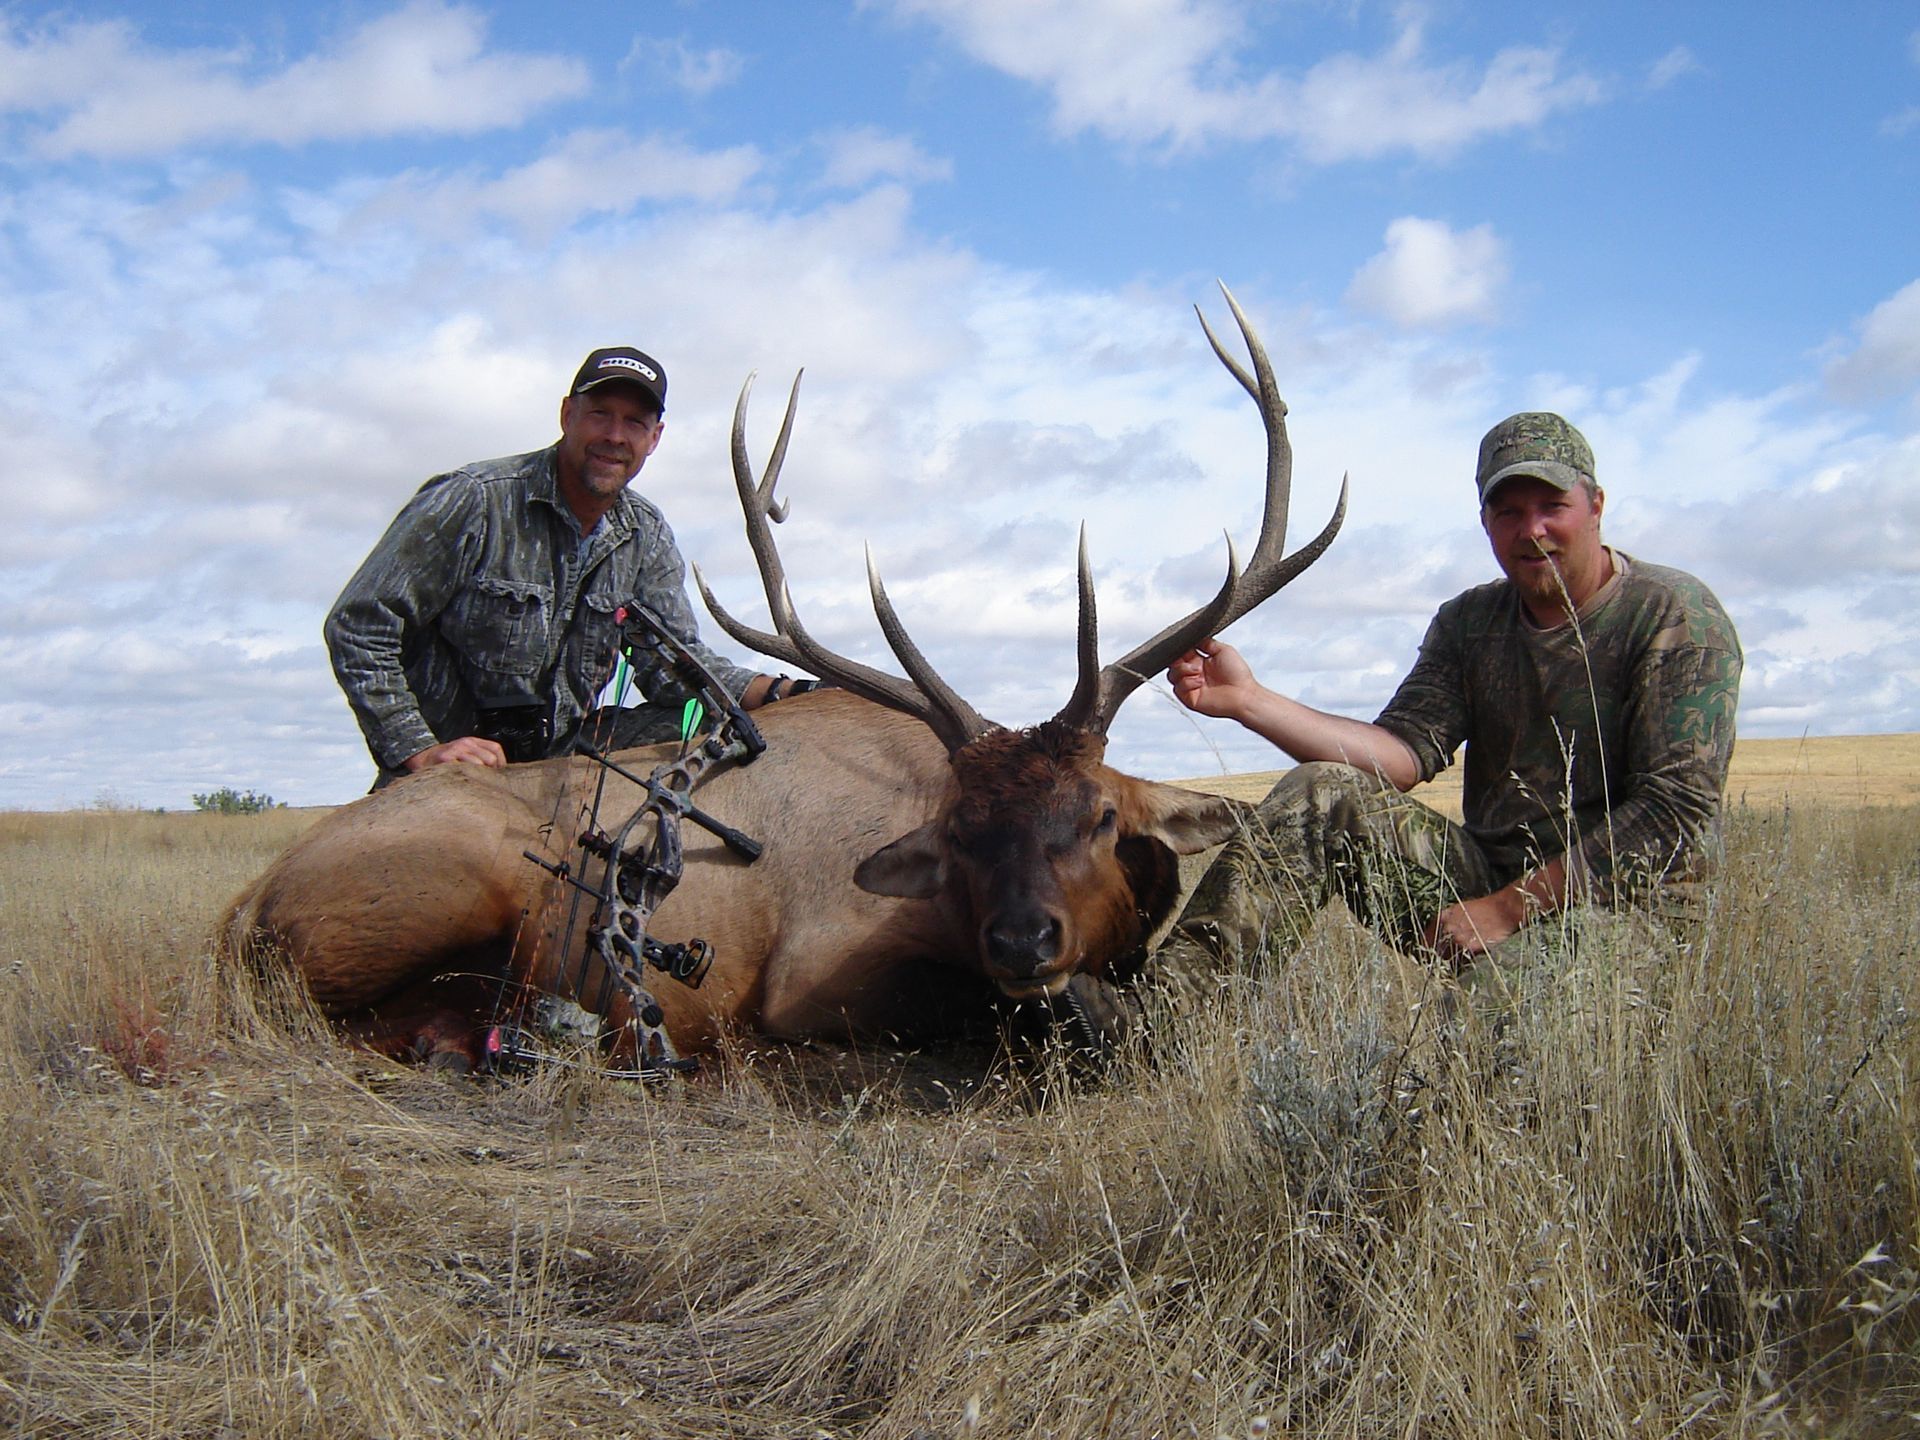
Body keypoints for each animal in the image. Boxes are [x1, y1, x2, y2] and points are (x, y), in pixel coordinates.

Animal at [222, 286, 1346, 1073]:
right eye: (959, 833)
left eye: (1104, 815)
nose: (1025, 940)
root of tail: (245, 903)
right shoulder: (813, 978)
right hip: (430, 892)